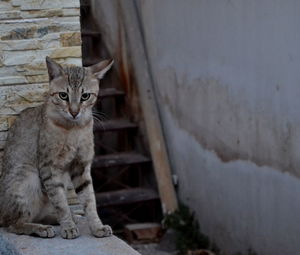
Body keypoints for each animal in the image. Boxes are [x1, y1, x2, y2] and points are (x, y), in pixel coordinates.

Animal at [0, 56, 113, 239]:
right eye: (63, 95)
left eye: (85, 96)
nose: (74, 112)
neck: (74, 128)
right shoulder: (49, 168)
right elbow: (61, 203)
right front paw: (68, 227)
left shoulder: (81, 166)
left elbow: (89, 201)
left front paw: (97, 227)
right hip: (27, 177)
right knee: (13, 224)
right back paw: (41, 228)